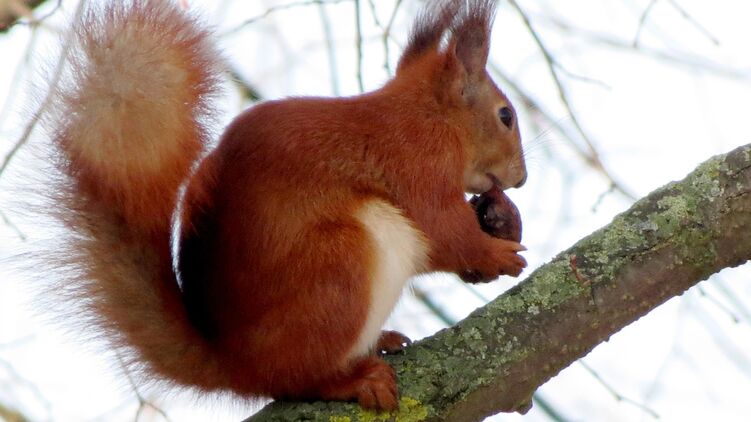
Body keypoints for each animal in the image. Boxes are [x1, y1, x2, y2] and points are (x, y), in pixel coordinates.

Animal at [46, 0, 527, 412]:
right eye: (505, 116)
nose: (521, 178)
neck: (428, 115)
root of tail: (236, 366)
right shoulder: (418, 164)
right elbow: (445, 232)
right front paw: (498, 255)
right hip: (340, 265)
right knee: (293, 378)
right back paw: (351, 379)